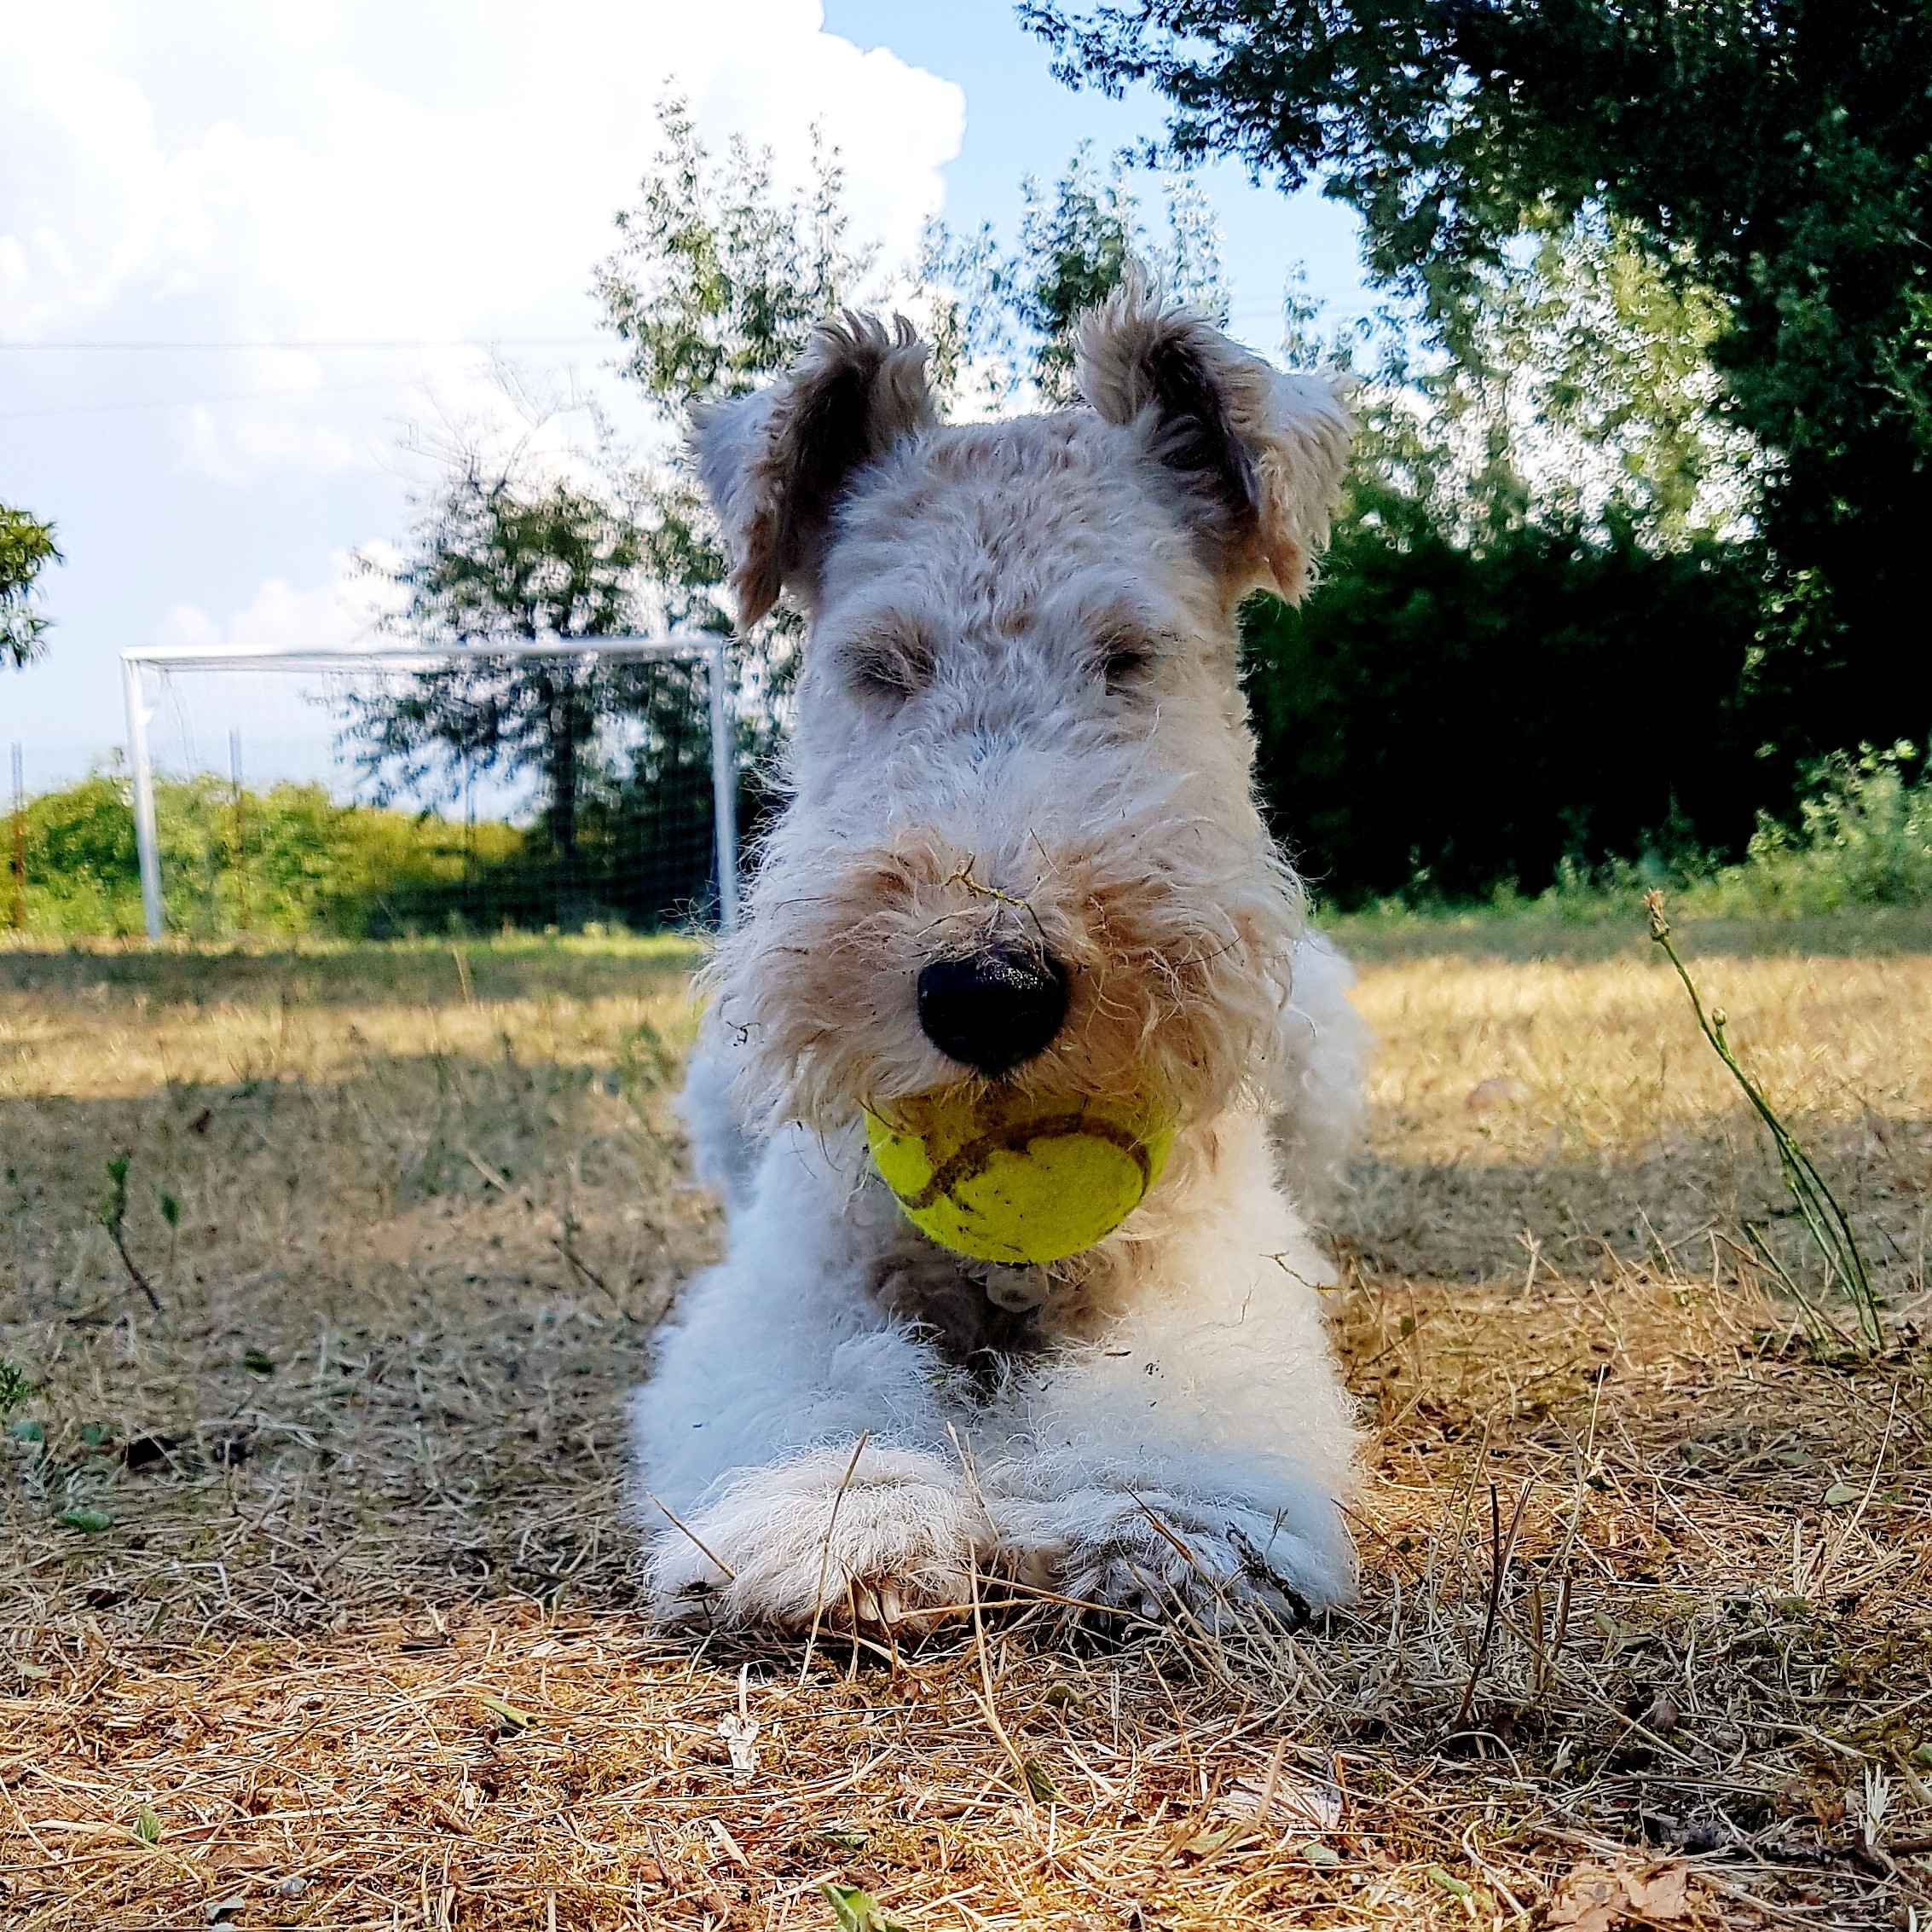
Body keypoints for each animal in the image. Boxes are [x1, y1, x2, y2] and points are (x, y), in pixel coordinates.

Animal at [631, 275, 1369, 1633]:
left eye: (1130, 655)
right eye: (878, 665)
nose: (989, 992)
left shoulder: (1201, 1261)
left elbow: (1165, 1384)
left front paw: (1158, 1520)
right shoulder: (801, 1278)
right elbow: (830, 1382)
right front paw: (837, 1519)